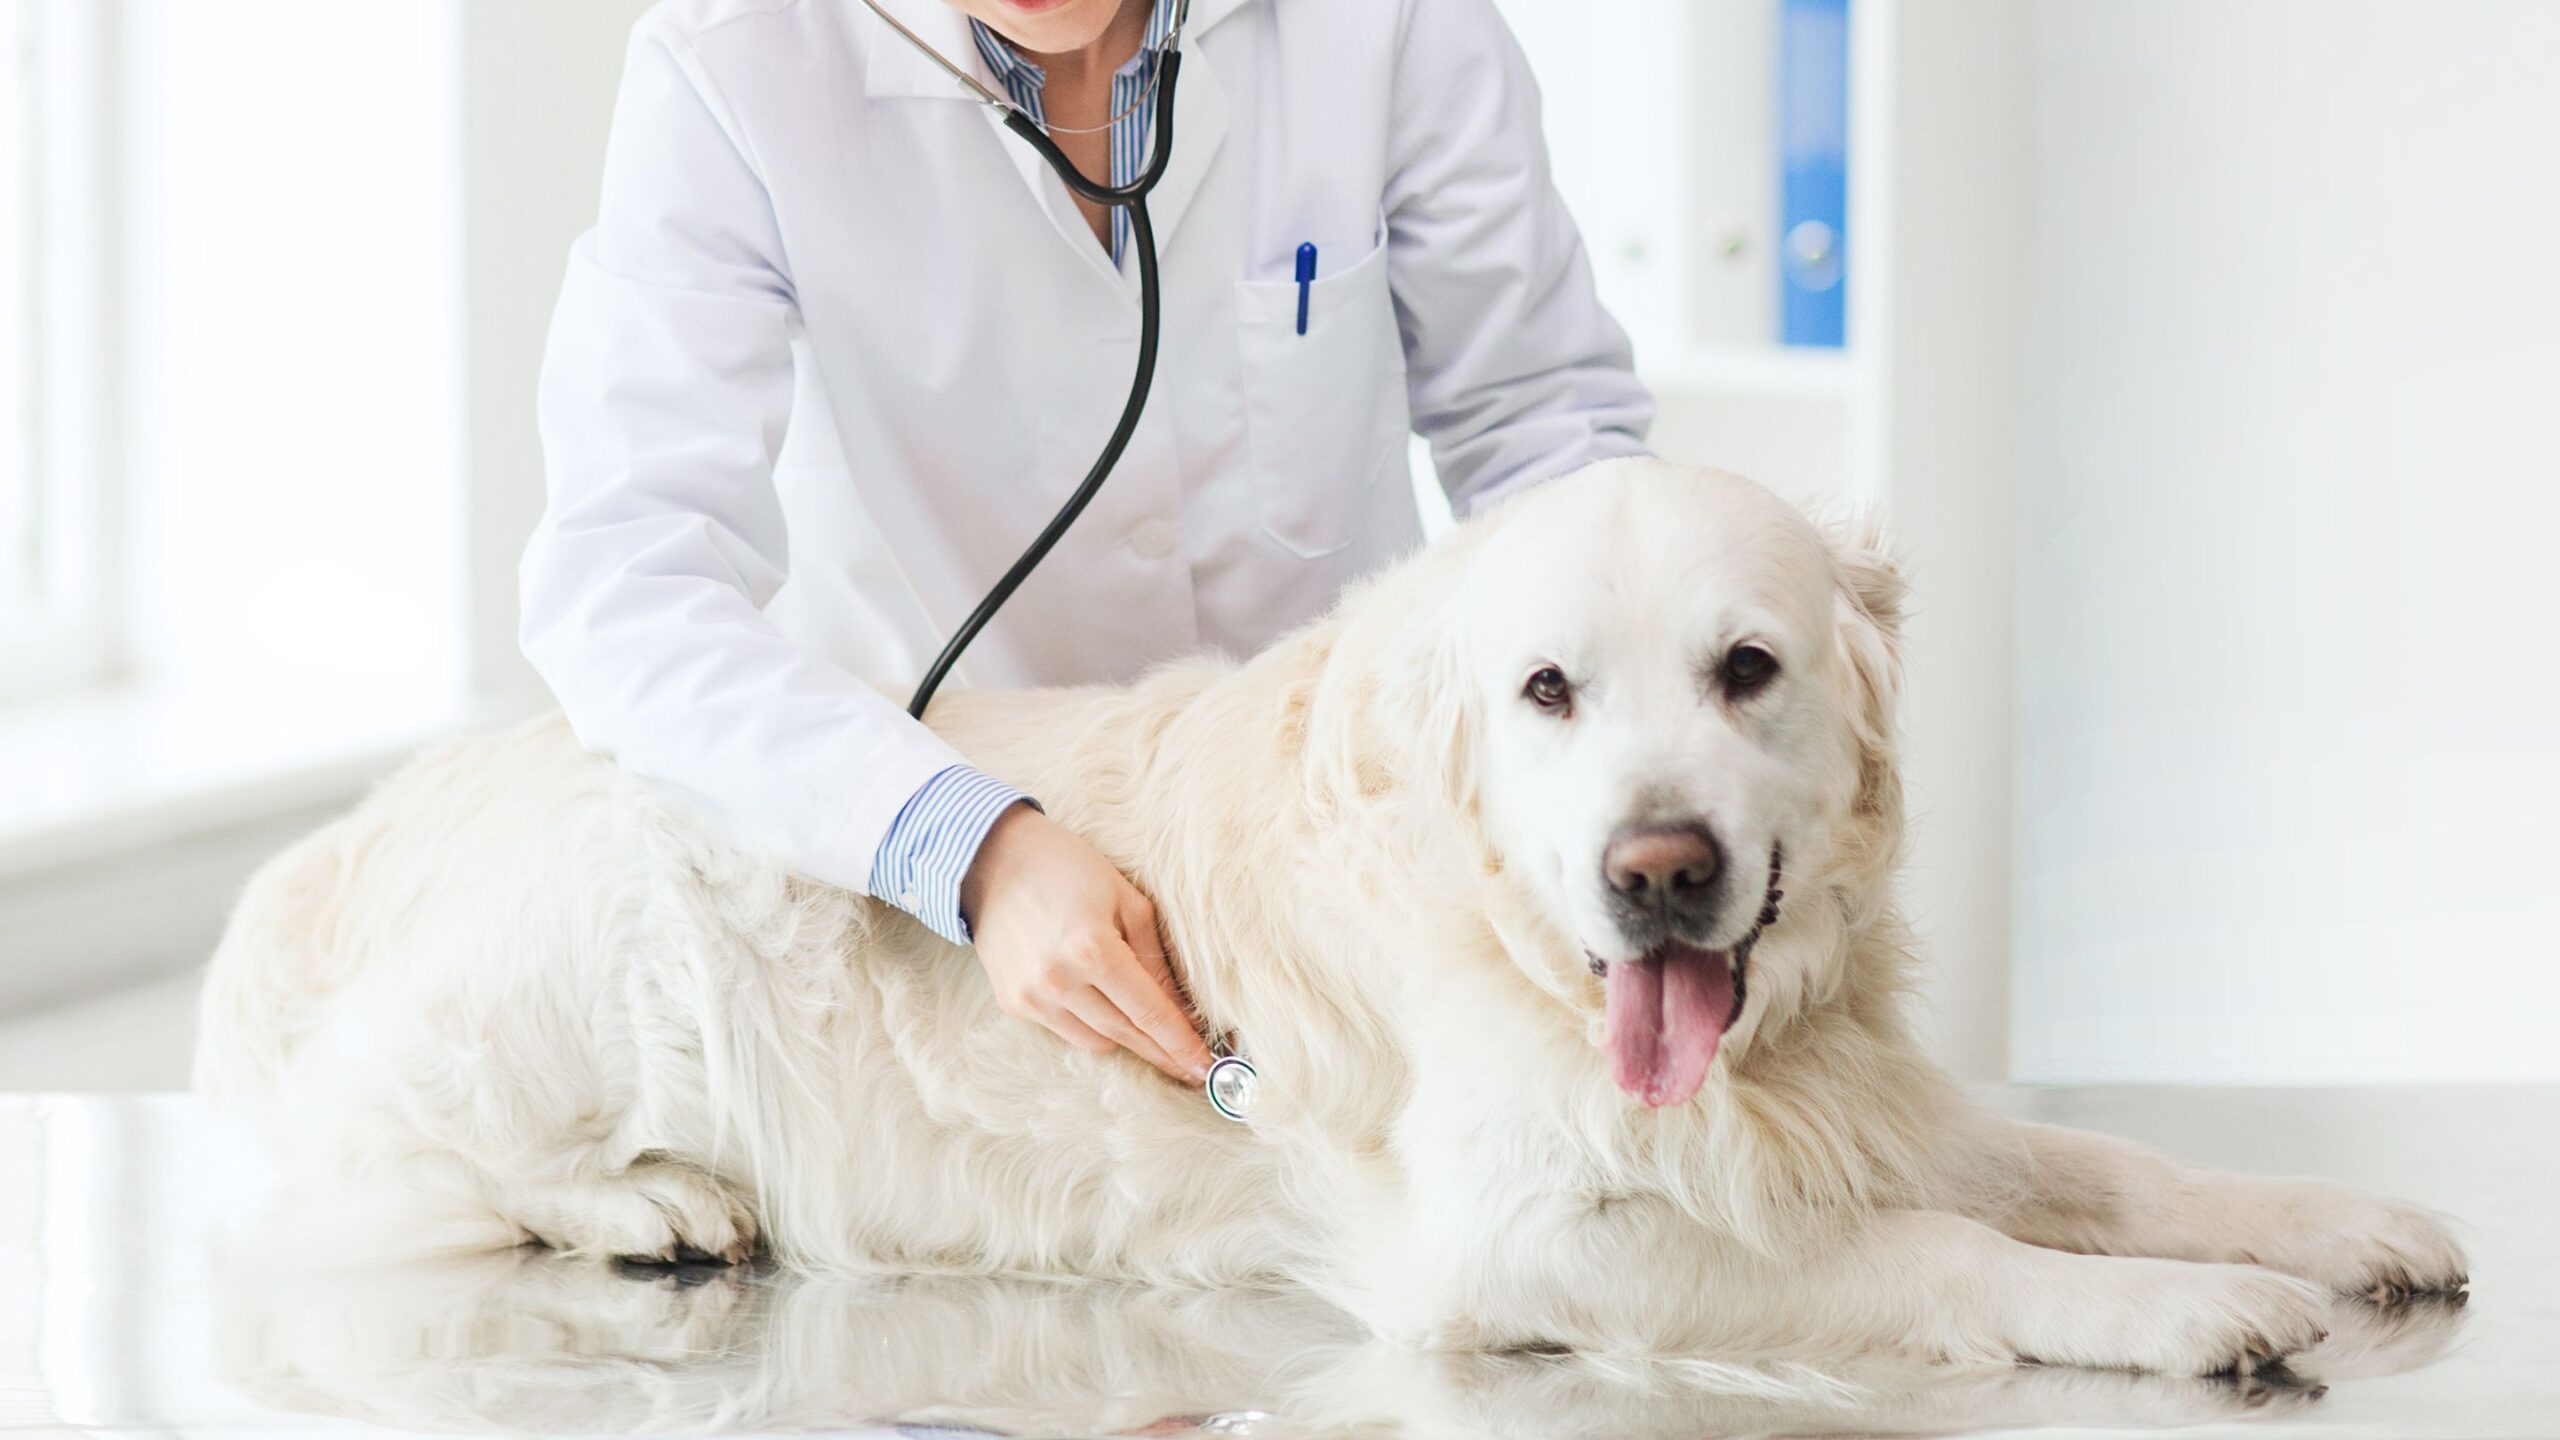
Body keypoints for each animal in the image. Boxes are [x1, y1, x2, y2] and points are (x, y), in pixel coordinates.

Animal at [189, 458, 2467, 1363]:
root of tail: (345, 828)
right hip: (606, 928)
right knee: (376, 1175)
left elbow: (2097, 1162)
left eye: (1747, 669)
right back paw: (650, 1201)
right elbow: (1941, 1256)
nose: (1657, 875)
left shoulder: (1835, 1092)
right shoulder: (1531, 1238)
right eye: (1546, 692)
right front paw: (2182, 1312)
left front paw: (2326, 1222)